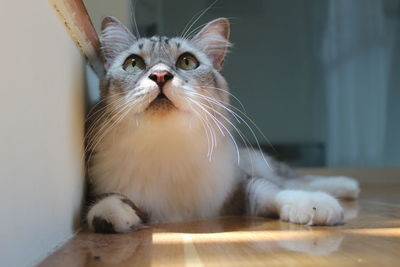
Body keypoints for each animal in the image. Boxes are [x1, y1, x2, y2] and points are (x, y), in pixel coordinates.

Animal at [85, 17, 360, 234]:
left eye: (187, 62)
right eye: (133, 64)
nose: (160, 75)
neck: (167, 145)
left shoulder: (241, 185)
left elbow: (273, 192)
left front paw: (315, 205)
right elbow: (111, 201)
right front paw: (111, 213)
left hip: (262, 165)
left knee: (294, 179)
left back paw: (347, 186)